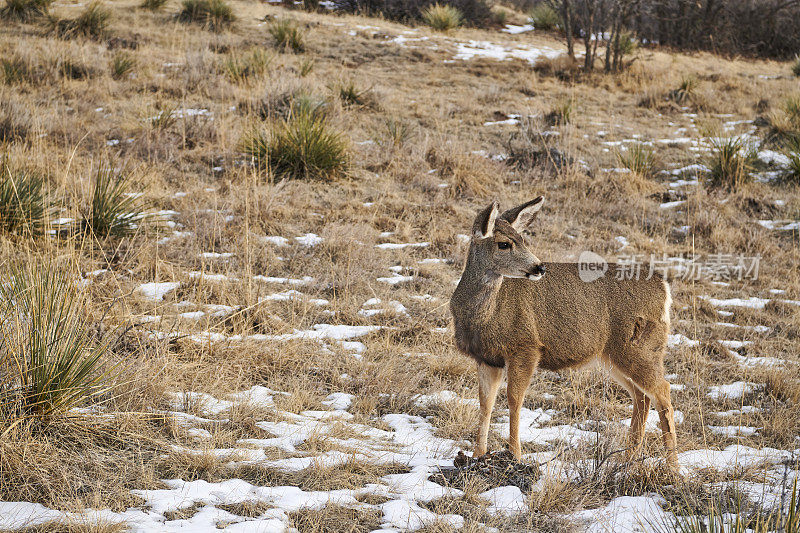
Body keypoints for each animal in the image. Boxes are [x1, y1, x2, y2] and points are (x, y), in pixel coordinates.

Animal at [446, 197, 680, 468]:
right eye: (504, 243)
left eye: (523, 239)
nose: (539, 267)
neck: (486, 314)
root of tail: (664, 288)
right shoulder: (486, 358)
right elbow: (485, 403)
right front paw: (477, 456)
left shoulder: (526, 347)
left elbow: (514, 400)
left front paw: (515, 456)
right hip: (612, 356)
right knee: (642, 397)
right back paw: (628, 459)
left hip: (639, 347)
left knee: (662, 390)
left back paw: (673, 466)